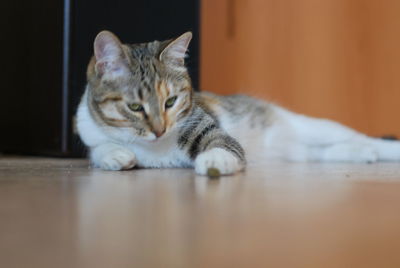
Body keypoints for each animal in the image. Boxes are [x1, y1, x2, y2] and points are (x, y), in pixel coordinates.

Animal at [76, 30, 400, 176]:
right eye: (135, 107)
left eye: (170, 101)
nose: (159, 130)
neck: (154, 148)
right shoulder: (89, 130)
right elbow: (98, 148)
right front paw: (116, 155)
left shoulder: (208, 127)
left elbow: (223, 145)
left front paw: (214, 160)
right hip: (300, 151)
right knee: (323, 154)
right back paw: (361, 154)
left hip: (317, 127)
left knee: (364, 138)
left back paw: (374, 149)